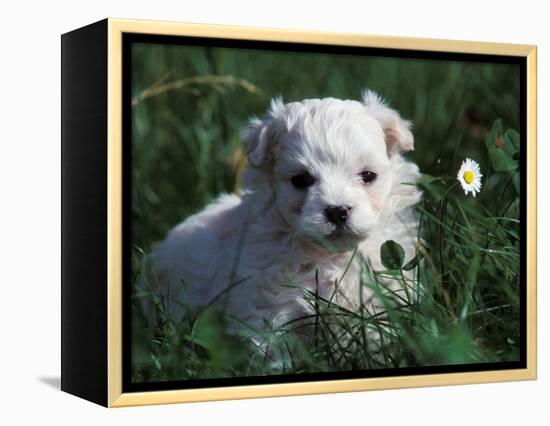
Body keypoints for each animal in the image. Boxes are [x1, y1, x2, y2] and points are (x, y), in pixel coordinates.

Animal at [141, 91, 422, 354]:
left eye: (368, 175)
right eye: (301, 180)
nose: (337, 211)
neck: (329, 256)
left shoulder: (376, 299)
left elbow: (375, 337)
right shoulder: (269, 308)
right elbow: (274, 350)